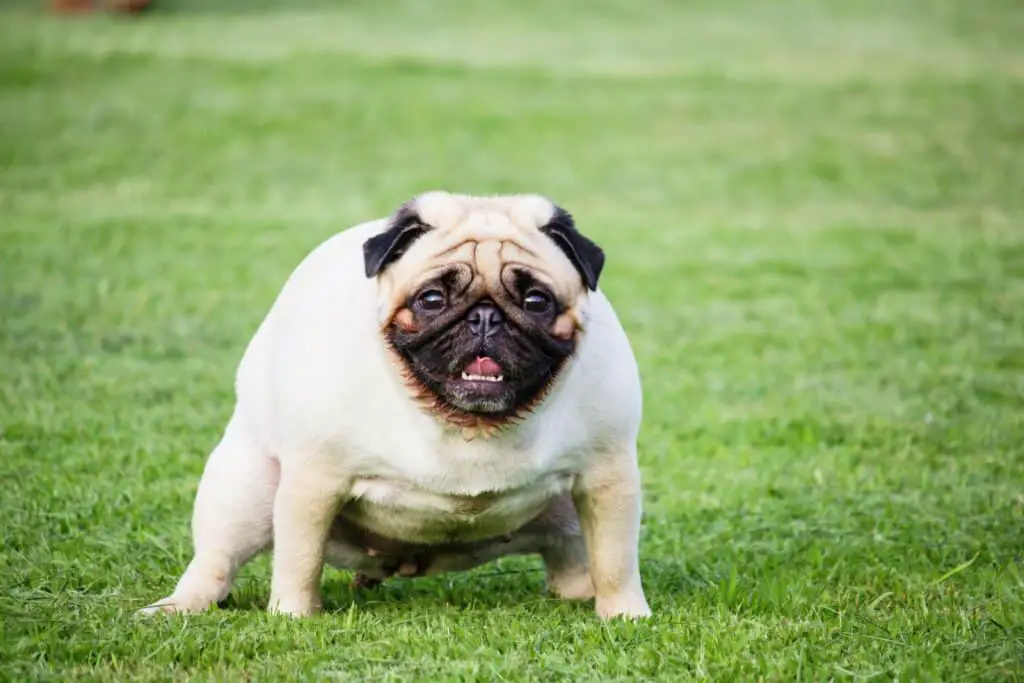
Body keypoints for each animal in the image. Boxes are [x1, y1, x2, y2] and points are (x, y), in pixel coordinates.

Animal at [138, 191, 647, 618]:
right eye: (432, 298)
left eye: (537, 300)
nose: (486, 317)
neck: (466, 421)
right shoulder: (314, 481)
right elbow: (299, 558)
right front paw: (293, 616)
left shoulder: (607, 477)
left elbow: (616, 560)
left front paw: (624, 615)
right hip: (245, 491)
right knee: (217, 560)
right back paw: (179, 606)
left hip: (570, 517)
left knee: (575, 561)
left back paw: (581, 592)